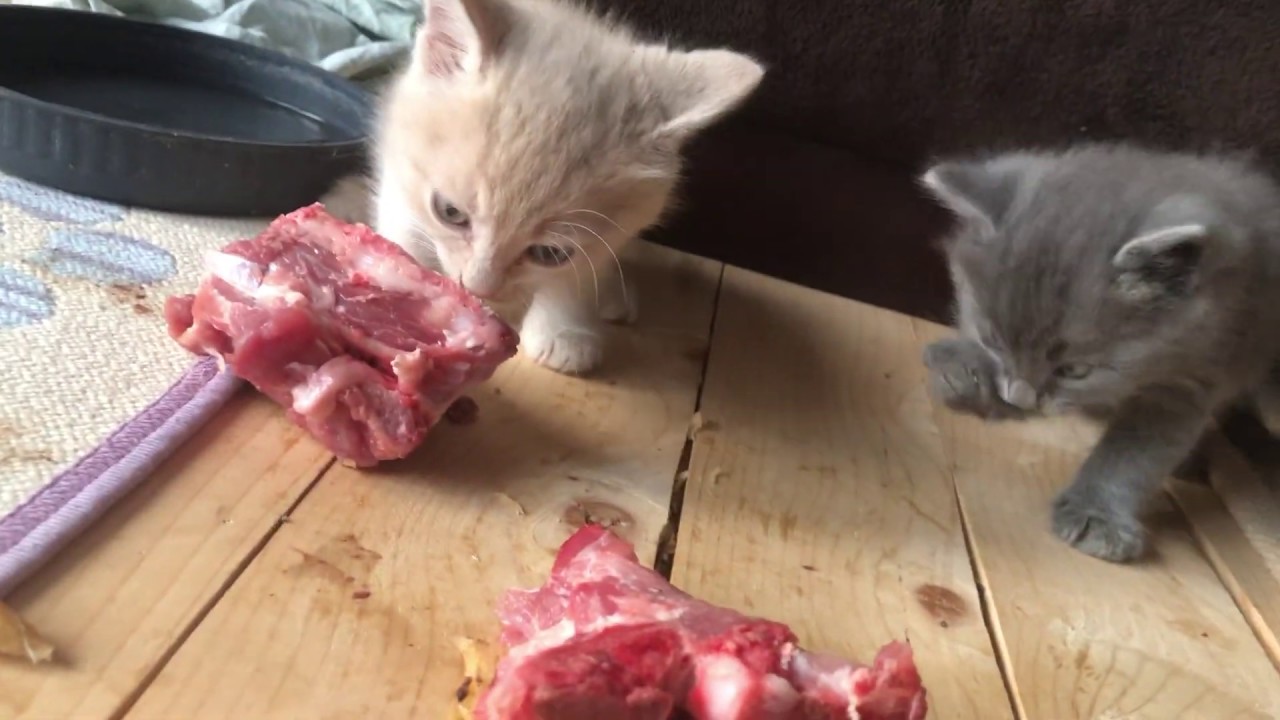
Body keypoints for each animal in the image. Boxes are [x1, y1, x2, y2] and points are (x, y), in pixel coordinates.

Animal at [373, 0, 768, 371]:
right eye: (450, 212)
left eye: (549, 253)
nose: (476, 287)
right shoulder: (400, 165)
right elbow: (405, 230)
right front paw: (399, 281)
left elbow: (580, 269)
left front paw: (564, 329)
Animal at [926, 141, 1280, 561]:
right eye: (993, 341)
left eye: (1074, 370)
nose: (1021, 399)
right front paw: (965, 371)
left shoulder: (1192, 376)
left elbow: (1135, 452)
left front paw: (1097, 515)